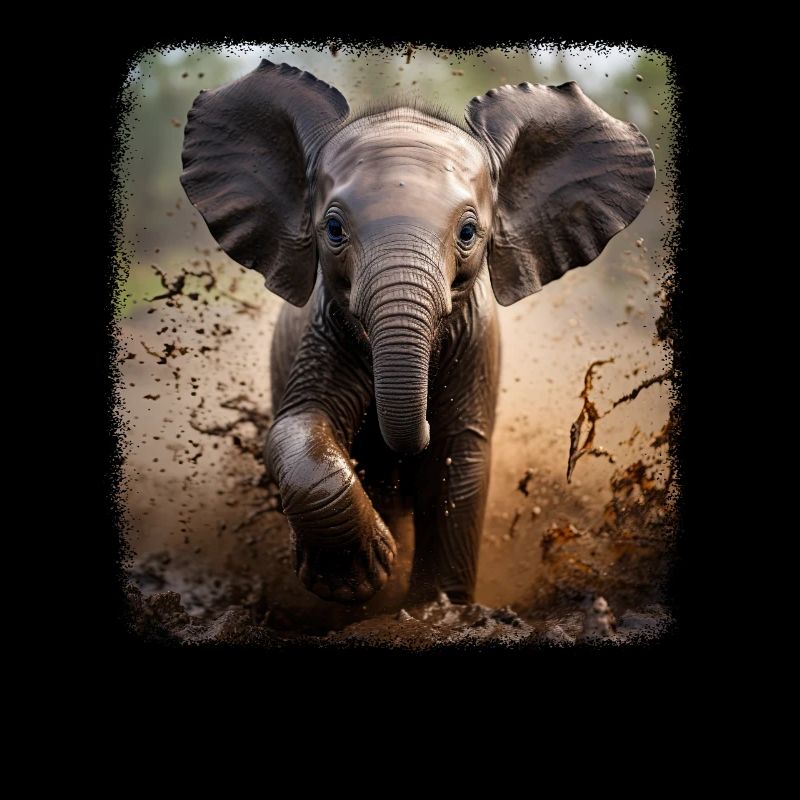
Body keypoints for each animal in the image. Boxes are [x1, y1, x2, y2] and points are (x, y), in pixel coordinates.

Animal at [180, 60, 655, 606]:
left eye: (468, 233)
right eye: (334, 230)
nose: (418, 421)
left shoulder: (475, 340)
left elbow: (458, 458)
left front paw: (435, 608)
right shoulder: (325, 327)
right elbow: (297, 426)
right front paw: (360, 579)